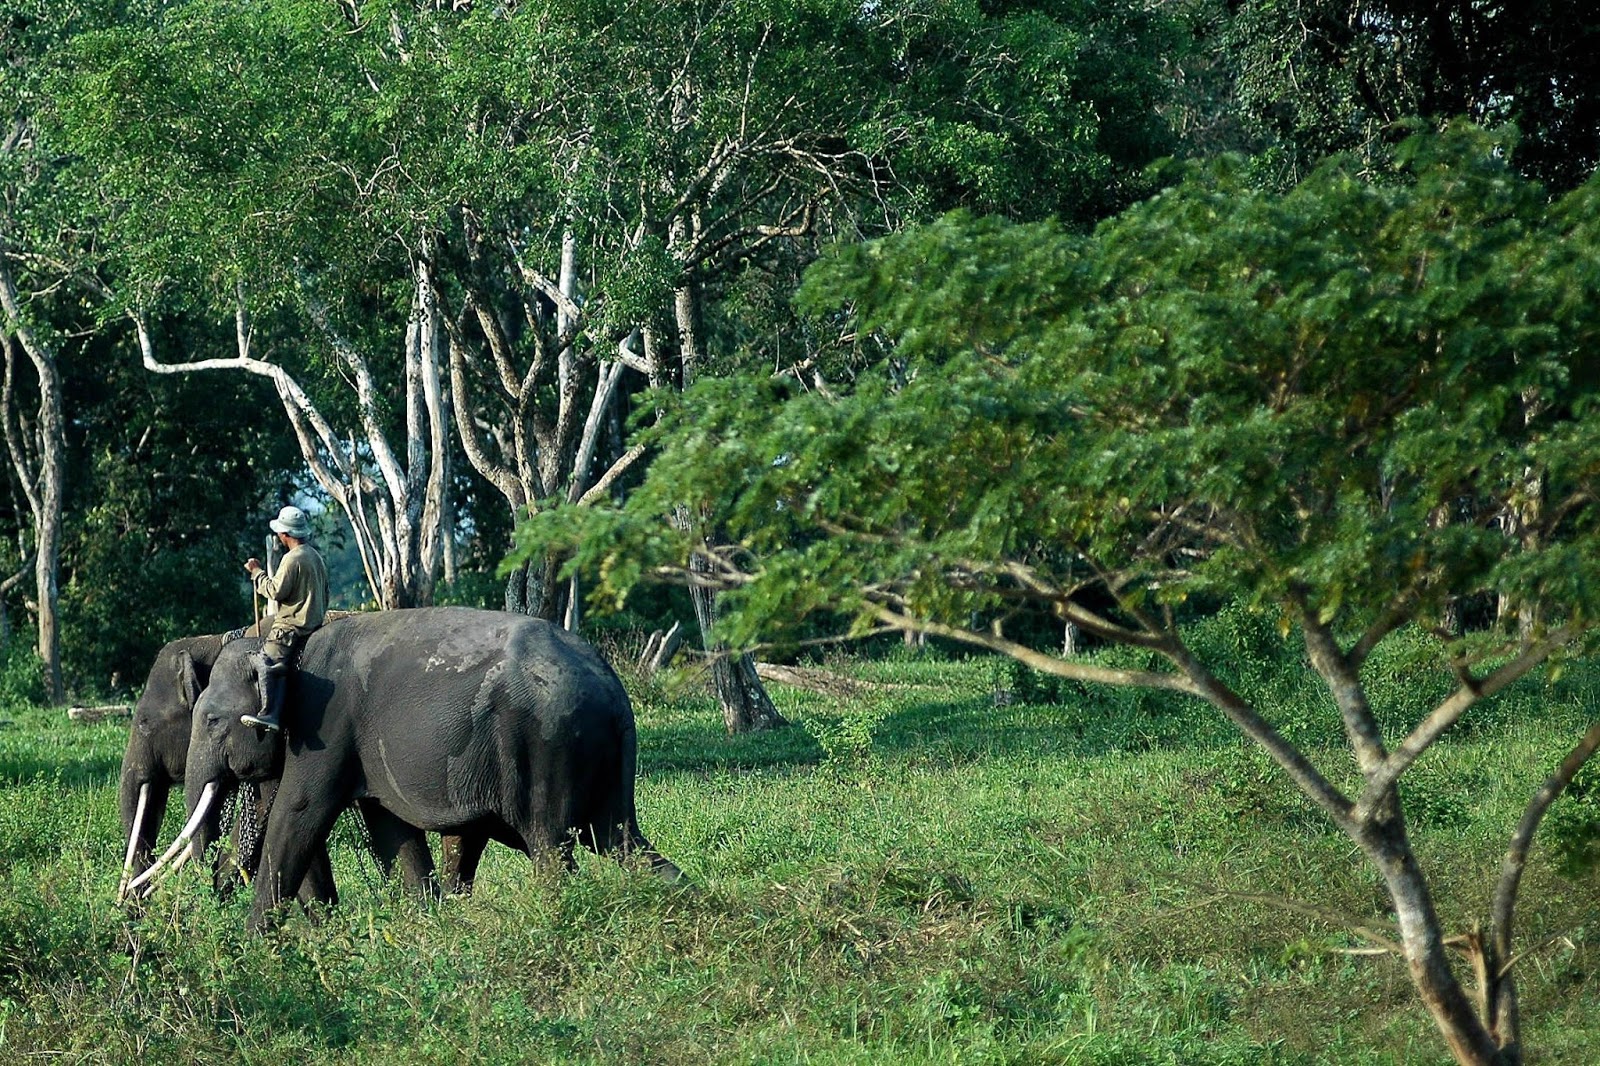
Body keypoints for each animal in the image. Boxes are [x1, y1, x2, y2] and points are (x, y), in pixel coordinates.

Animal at [139, 601, 681, 928]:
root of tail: (613, 692)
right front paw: (425, 921)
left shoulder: (325, 724)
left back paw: (557, 923)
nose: (204, 901)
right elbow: (389, 828)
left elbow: (299, 813)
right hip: (596, 760)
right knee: (621, 840)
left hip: (549, 747)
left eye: (211, 720)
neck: (278, 641)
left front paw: (254, 943)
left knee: (552, 849)